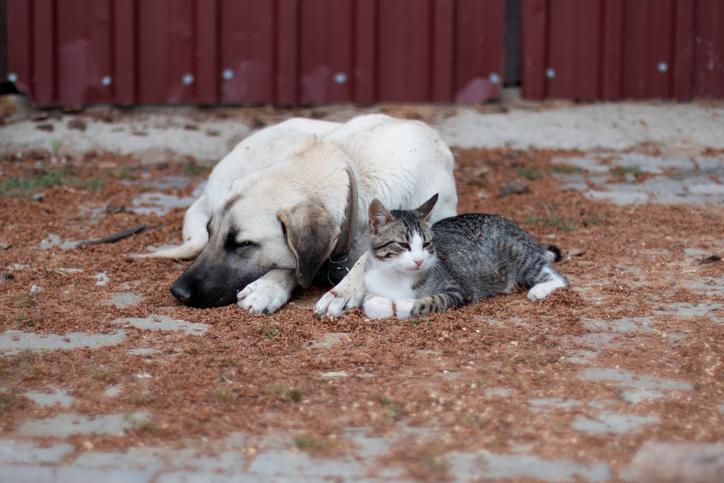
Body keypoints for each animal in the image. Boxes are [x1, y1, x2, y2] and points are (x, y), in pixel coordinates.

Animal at [138, 115, 456, 316]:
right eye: (212, 232)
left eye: (243, 244)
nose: (178, 292)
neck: (353, 169)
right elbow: (297, 262)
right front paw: (268, 286)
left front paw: (344, 290)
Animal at [364, 195, 568, 320]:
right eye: (404, 245)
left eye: (426, 244)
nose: (418, 260)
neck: (397, 276)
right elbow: (369, 304)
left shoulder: (458, 290)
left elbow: (431, 301)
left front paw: (404, 305)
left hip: (518, 252)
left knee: (560, 278)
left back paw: (539, 289)